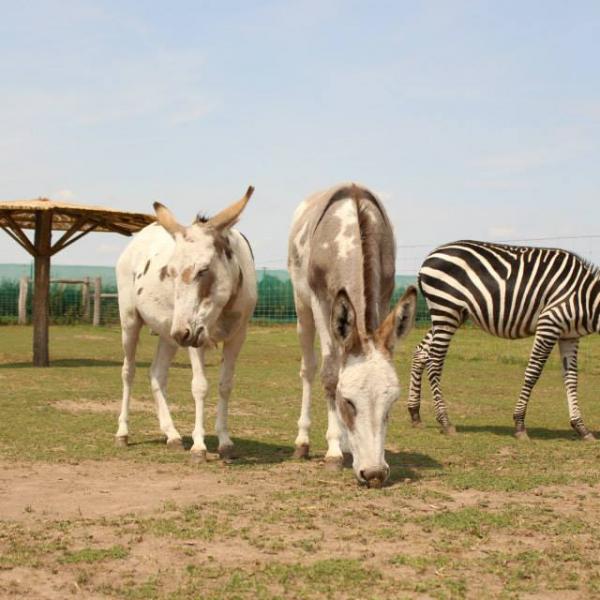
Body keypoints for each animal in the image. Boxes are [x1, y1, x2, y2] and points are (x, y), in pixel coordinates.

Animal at [408, 239, 600, 440]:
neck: (586, 297)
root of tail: (429, 257)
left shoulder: (569, 336)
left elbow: (571, 378)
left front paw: (581, 427)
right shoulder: (549, 323)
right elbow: (533, 372)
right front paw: (519, 424)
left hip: (450, 316)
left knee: (421, 353)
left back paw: (415, 414)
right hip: (446, 309)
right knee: (434, 361)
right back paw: (445, 421)